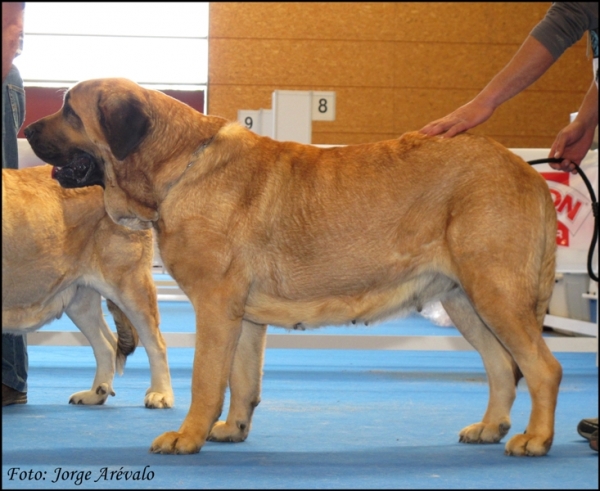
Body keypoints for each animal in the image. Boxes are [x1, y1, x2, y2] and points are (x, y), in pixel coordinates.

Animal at [2, 165, 173, 408]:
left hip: (130, 286)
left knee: (156, 343)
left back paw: (160, 394)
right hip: (79, 299)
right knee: (107, 345)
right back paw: (96, 393)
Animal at [25, 77, 564, 458]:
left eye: (70, 110)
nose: (26, 128)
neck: (179, 165)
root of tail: (528, 171)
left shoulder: (215, 307)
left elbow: (206, 377)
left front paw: (187, 436)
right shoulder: (244, 317)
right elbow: (242, 379)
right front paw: (231, 429)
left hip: (494, 292)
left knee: (544, 367)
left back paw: (535, 439)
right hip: (464, 299)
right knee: (502, 366)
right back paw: (490, 428)